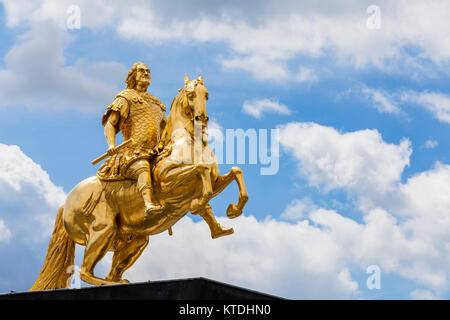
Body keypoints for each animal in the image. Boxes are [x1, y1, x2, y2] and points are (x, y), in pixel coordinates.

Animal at [30, 74, 250, 290]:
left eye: (206, 94)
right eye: (190, 94)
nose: (201, 119)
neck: (188, 142)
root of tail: (66, 203)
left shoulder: (214, 181)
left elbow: (235, 172)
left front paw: (233, 211)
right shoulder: (168, 181)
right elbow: (201, 171)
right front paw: (198, 204)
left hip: (135, 239)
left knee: (113, 268)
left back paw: (117, 281)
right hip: (103, 230)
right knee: (85, 271)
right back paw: (105, 283)